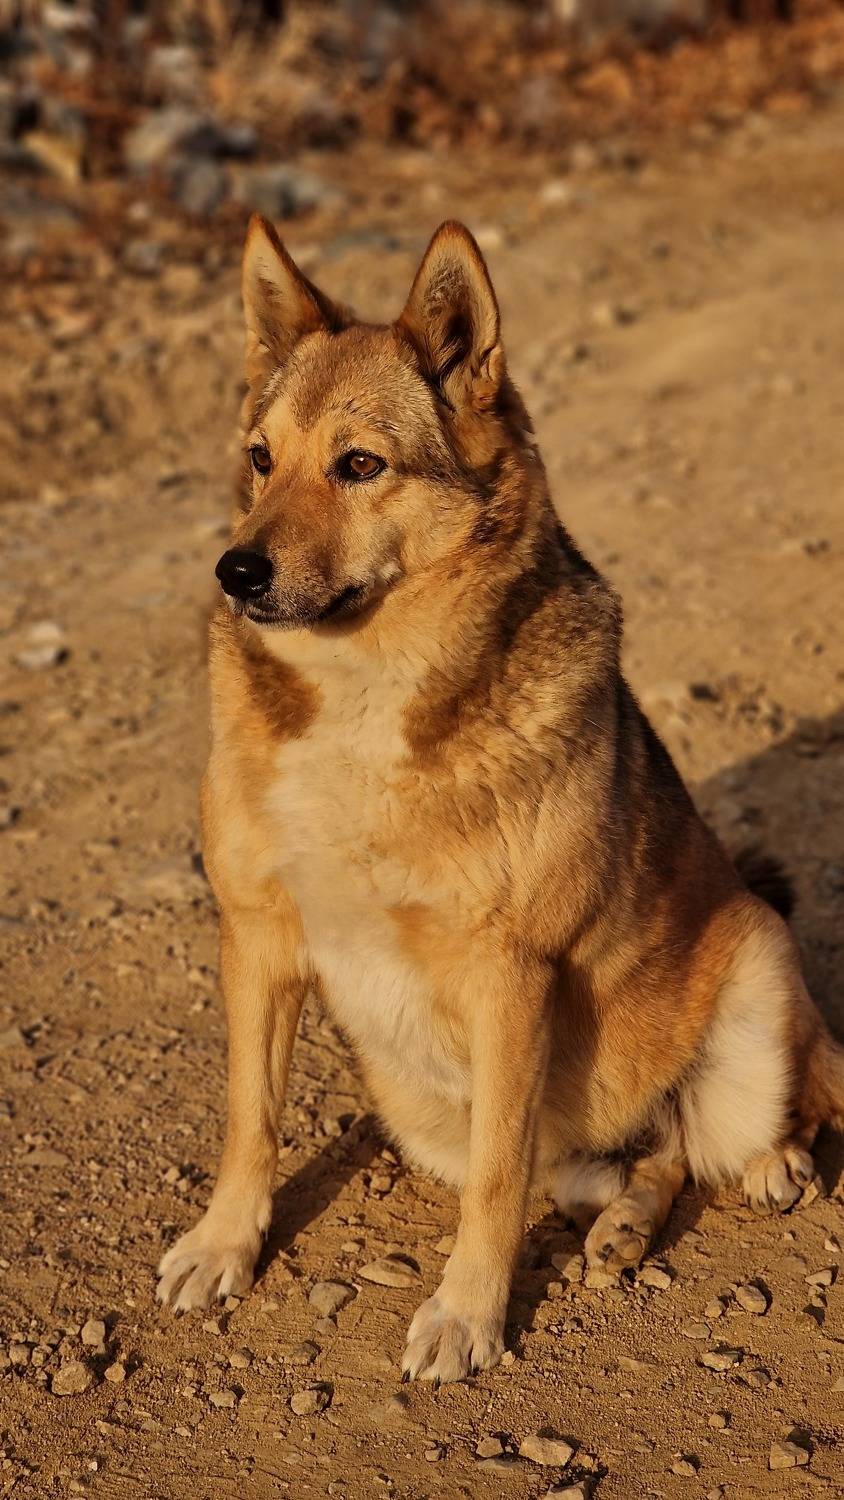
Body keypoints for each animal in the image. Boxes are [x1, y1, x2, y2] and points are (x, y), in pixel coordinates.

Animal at [157, 215, 844, 1383]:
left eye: (360, 465)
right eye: (259, 460)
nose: (234, 571)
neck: (363, 698)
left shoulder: (510, 976)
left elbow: (494, 1179)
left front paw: (466, 1315)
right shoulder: (255, 937)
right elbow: (252, 1118)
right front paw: (224, 1245)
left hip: (757, 969)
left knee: (742, 1125)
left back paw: (770, 1168)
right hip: (421, 1105)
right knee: (643, 1163)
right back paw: (621, 1229)